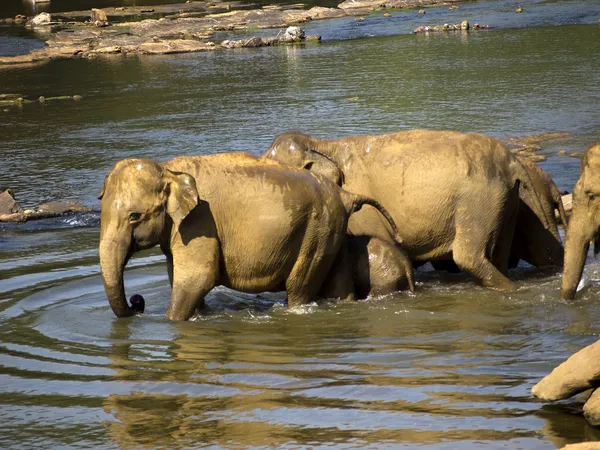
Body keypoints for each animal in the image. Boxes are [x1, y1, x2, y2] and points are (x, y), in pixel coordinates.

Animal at [98, 151, 400, 320]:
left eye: (134, 216)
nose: (137, 302)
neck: (168, 168)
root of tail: (344, 194)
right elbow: (181, 278)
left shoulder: (200, 222)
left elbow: (198, 277)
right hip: (331, 231)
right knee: (338, 286)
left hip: (316, 231)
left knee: (299, 287)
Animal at [264, 130, 556, 292]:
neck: (322, 144)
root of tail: (513, 162)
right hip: (507, 201)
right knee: (500, 255)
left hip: (480, 199)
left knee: (469, 257)